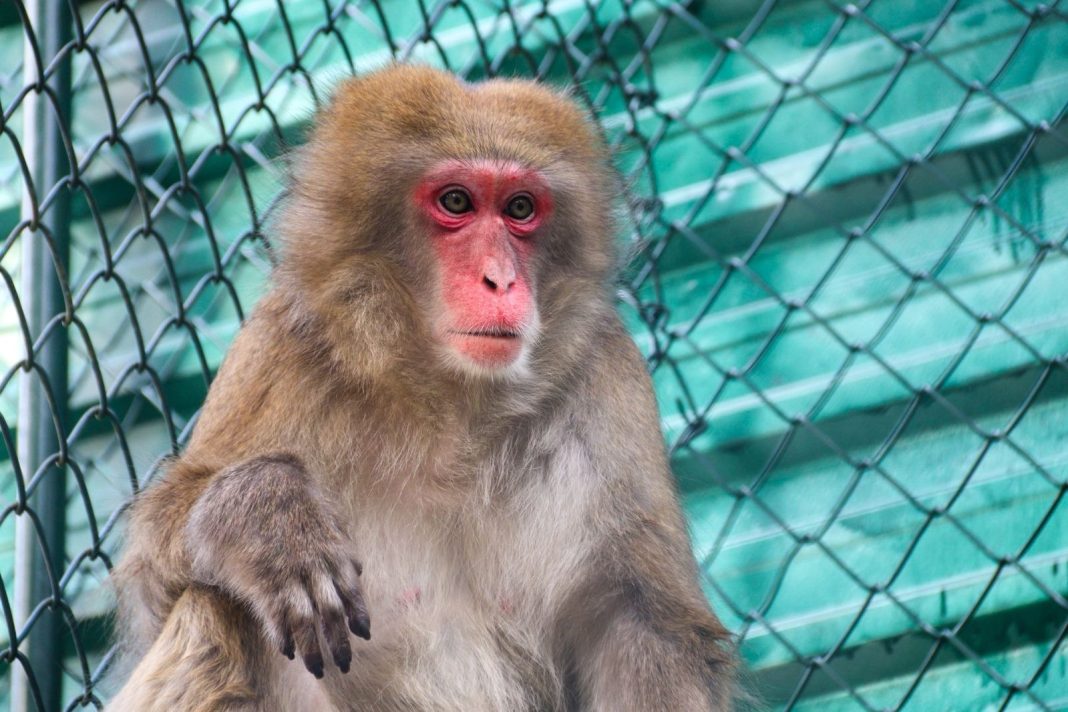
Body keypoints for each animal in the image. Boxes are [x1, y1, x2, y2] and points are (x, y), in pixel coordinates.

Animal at [107, 64, 734, 711]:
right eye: (456, 201)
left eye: (520, 207)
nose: (501, 279)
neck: (449, 403)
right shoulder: (280, 348)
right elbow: (152, 588)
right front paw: (264, 519)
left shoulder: (611, 375)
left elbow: (645, 622)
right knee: (217, 606)